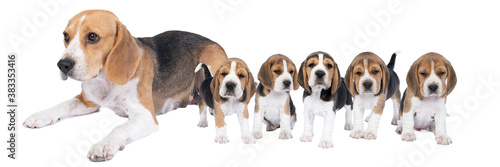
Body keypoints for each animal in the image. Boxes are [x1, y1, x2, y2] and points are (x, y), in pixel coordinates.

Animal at [22, 9, 228, 161]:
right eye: (66, 36)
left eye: (92, 36)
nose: (63, 65)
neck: (105, 80)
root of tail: (215, 42)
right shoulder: (88, 102)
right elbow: (63, 104)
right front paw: (40, 116)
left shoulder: (145, 116)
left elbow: (119, 128)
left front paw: (103, 144)